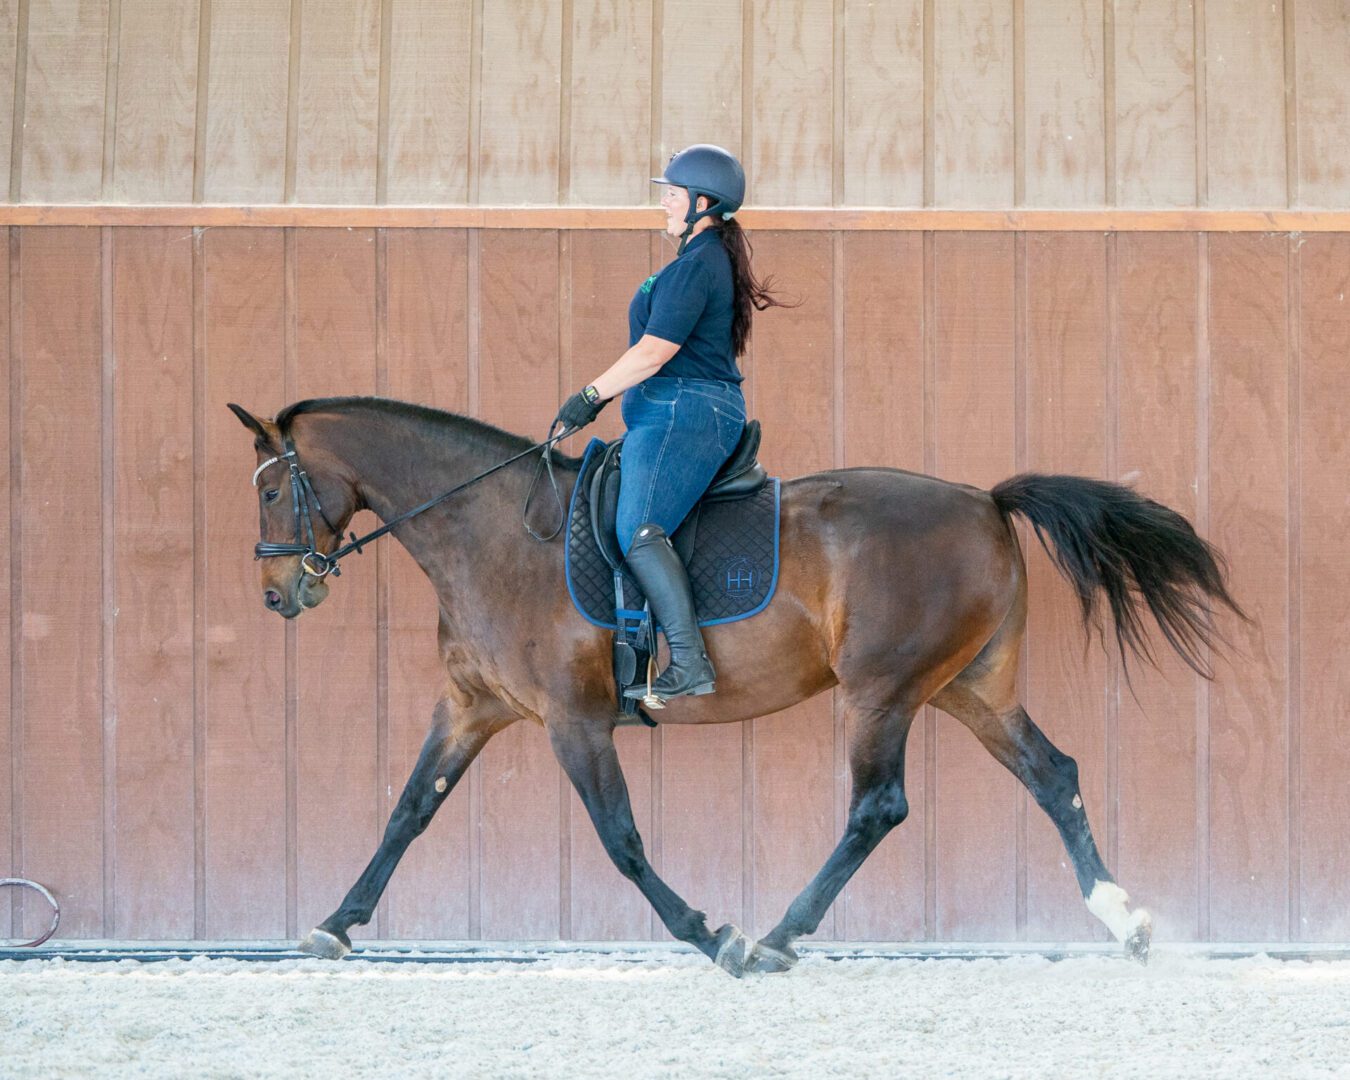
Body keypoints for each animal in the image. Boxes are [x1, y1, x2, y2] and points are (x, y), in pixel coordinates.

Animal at [229, 396, 1243, 976]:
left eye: (272, 490)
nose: (280, 593)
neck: (491, 531)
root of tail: (984, 501)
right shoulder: (472, 708)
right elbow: (409, 811)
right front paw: (335, 925)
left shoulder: (572, 721)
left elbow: (621, 839)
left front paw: (707, 931)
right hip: (969, 688)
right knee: (1052, 775)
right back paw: (1125, 921)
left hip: (880, 692)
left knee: (878, 806)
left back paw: (777, 936)